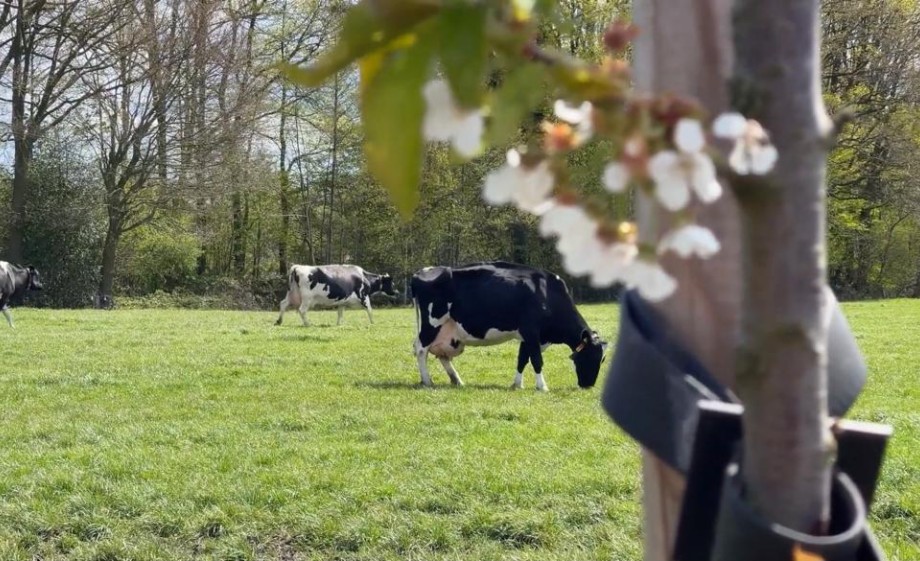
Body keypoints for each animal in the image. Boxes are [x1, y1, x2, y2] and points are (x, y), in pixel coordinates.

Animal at [410, 261, 607, 391]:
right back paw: (427, 381)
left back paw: (457, 380)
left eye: (602, 359)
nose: (589, 385)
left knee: (442, 355)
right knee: (421, 349)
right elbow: (537, 360)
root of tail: (421, 272)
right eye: (591, 356)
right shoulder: (531, 331)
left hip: (449, 333)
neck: (546, 293)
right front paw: (542, 386)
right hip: (432, 324)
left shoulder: (527, 337)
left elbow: (522, 359)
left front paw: (517, 384)